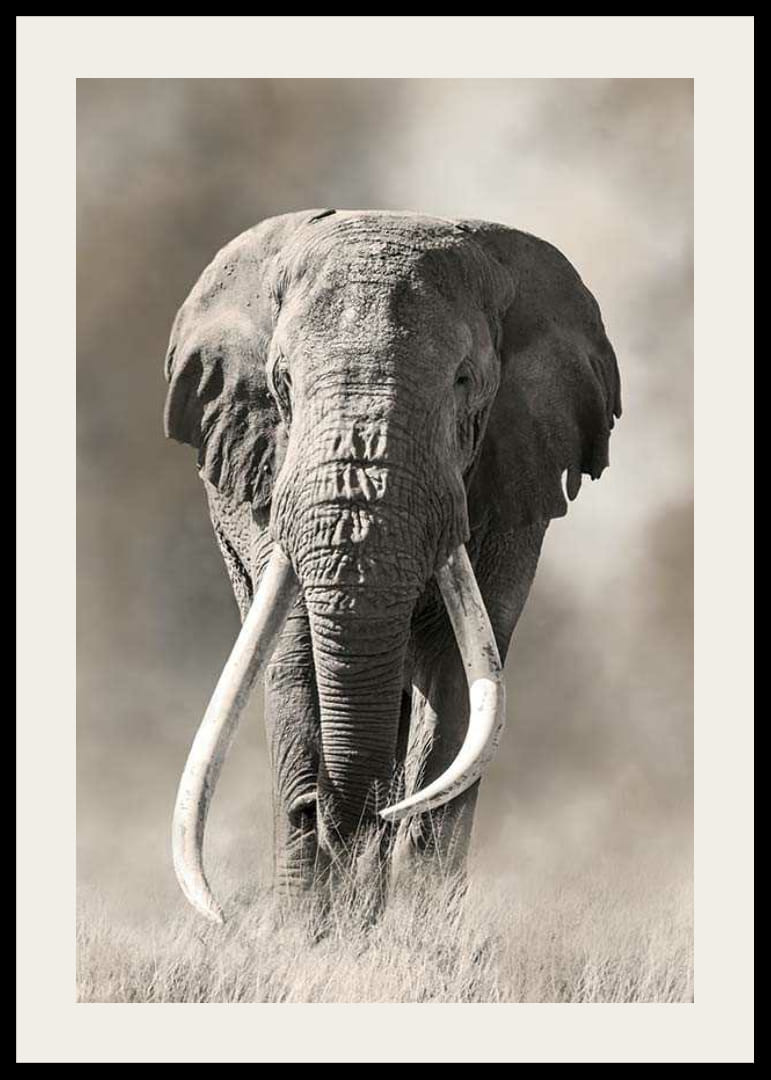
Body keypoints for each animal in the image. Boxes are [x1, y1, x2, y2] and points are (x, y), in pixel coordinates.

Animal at [163, 209, 621, 924]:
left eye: (464, 383)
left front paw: (416, 922)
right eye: (283, 384)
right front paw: (310, 924)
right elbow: (294, 654)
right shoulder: (268, 478)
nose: (323, 811)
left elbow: (460, 677)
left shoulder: (512, 481)